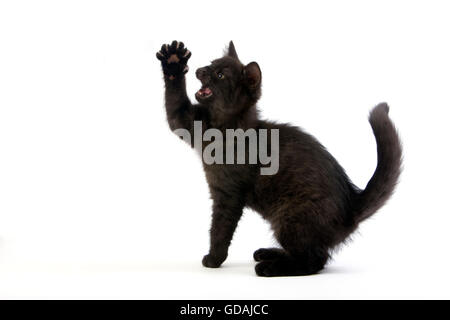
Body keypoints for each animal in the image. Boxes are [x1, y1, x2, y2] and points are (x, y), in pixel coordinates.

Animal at [156, 39, 402, 276]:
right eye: (210, 64)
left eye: (220, 75)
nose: (199, 70)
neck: (222, 126)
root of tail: (350, 208)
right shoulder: (186, 121)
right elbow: (175, 106)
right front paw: (173, 61)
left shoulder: (229, 195)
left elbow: (220, 228)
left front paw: (214, 259)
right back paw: (269, 253)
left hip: (290, 217)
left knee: (314, 260)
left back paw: (270, 268)